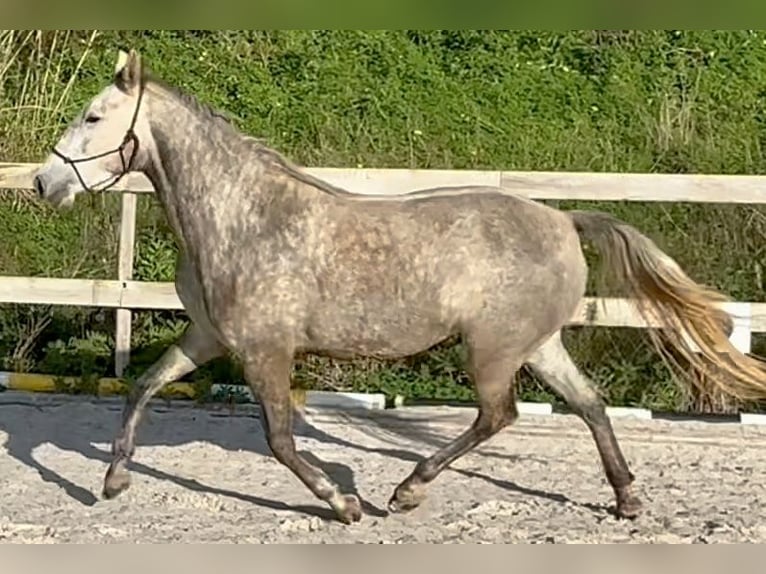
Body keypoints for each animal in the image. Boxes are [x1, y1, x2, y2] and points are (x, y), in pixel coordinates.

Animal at [33, 50, 766, 528]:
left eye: (94, 117)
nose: (45, 182)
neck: (242, 217)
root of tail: (563, 219)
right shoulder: (210, 336)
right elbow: (143, 387)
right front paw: (113, 481)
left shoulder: (266, 351)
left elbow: (280, 440)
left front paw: (344, 504)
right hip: (536, 344)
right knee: (589, 404)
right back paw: (626, 499)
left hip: (491, 350)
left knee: (498, 415)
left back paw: (407, 491)